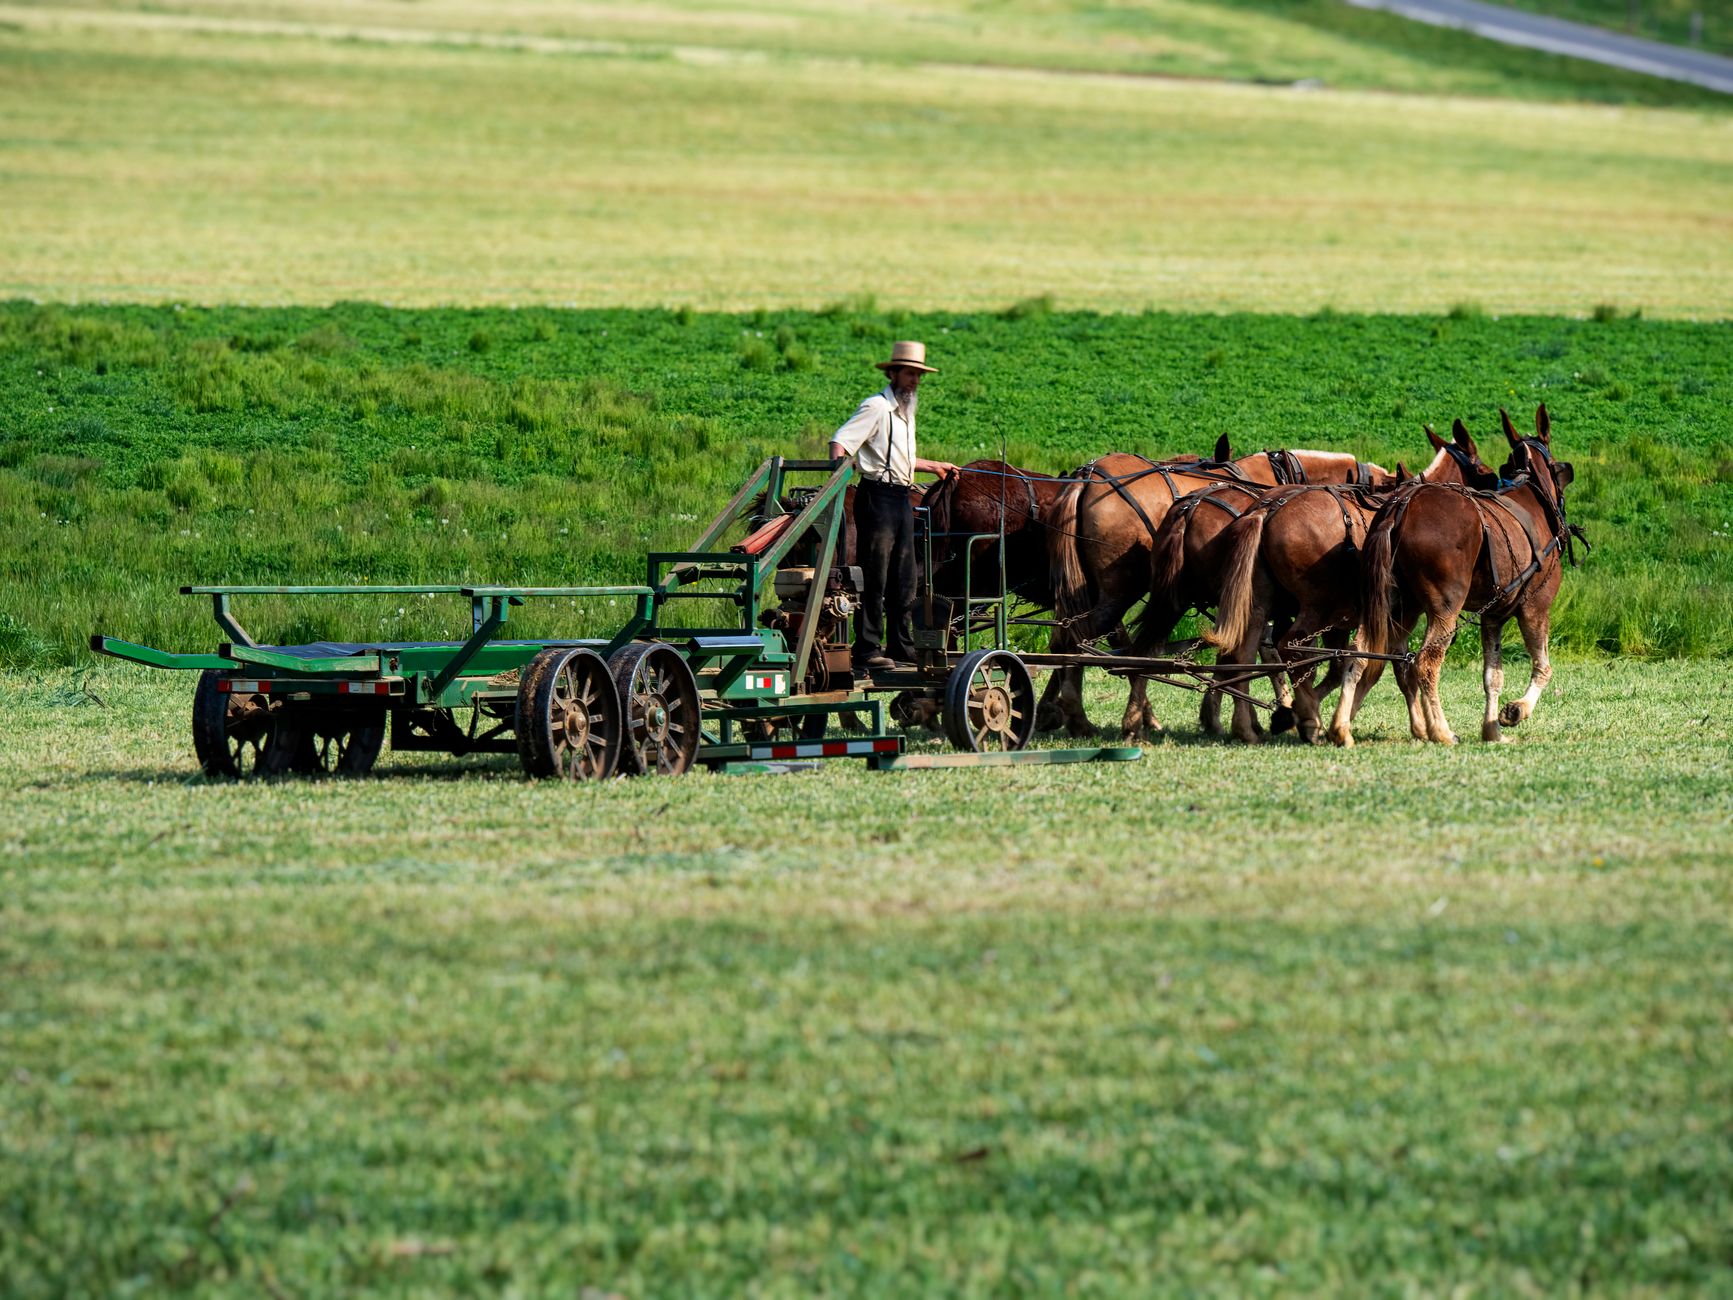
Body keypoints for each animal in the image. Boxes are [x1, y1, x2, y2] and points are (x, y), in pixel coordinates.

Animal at [1042, 444, 1388, 736]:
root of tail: (1087, 475)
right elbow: (1267, 654)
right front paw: (1278, 711)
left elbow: (1242, 654)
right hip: (1121, 590)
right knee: (1083, 640)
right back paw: (1080, 716)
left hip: (1108, 594)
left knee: (1080, 640)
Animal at [1200, 422, 1500, 744]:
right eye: (1486, 472)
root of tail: (1265, 510)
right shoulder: (1393, 615)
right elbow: (1382, 667)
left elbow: (1368, 666)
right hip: (1317, 606)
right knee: (1289, 648)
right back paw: (1308, 719)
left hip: (1259, 602)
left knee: (1242, 652)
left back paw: (1246, 725)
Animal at [1342, 405, 1583, 747]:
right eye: (1561, 470)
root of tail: (1400, 508)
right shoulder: (1535, 609)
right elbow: (1542, 667)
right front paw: (1516, 711)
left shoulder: (1493, 616)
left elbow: (1492, 676)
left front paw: (1492, 730)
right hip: (1444, 609)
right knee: (1424, 664)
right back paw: (1440, 731)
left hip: (1393, 606)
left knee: (1358, 655)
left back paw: (1340, 728)